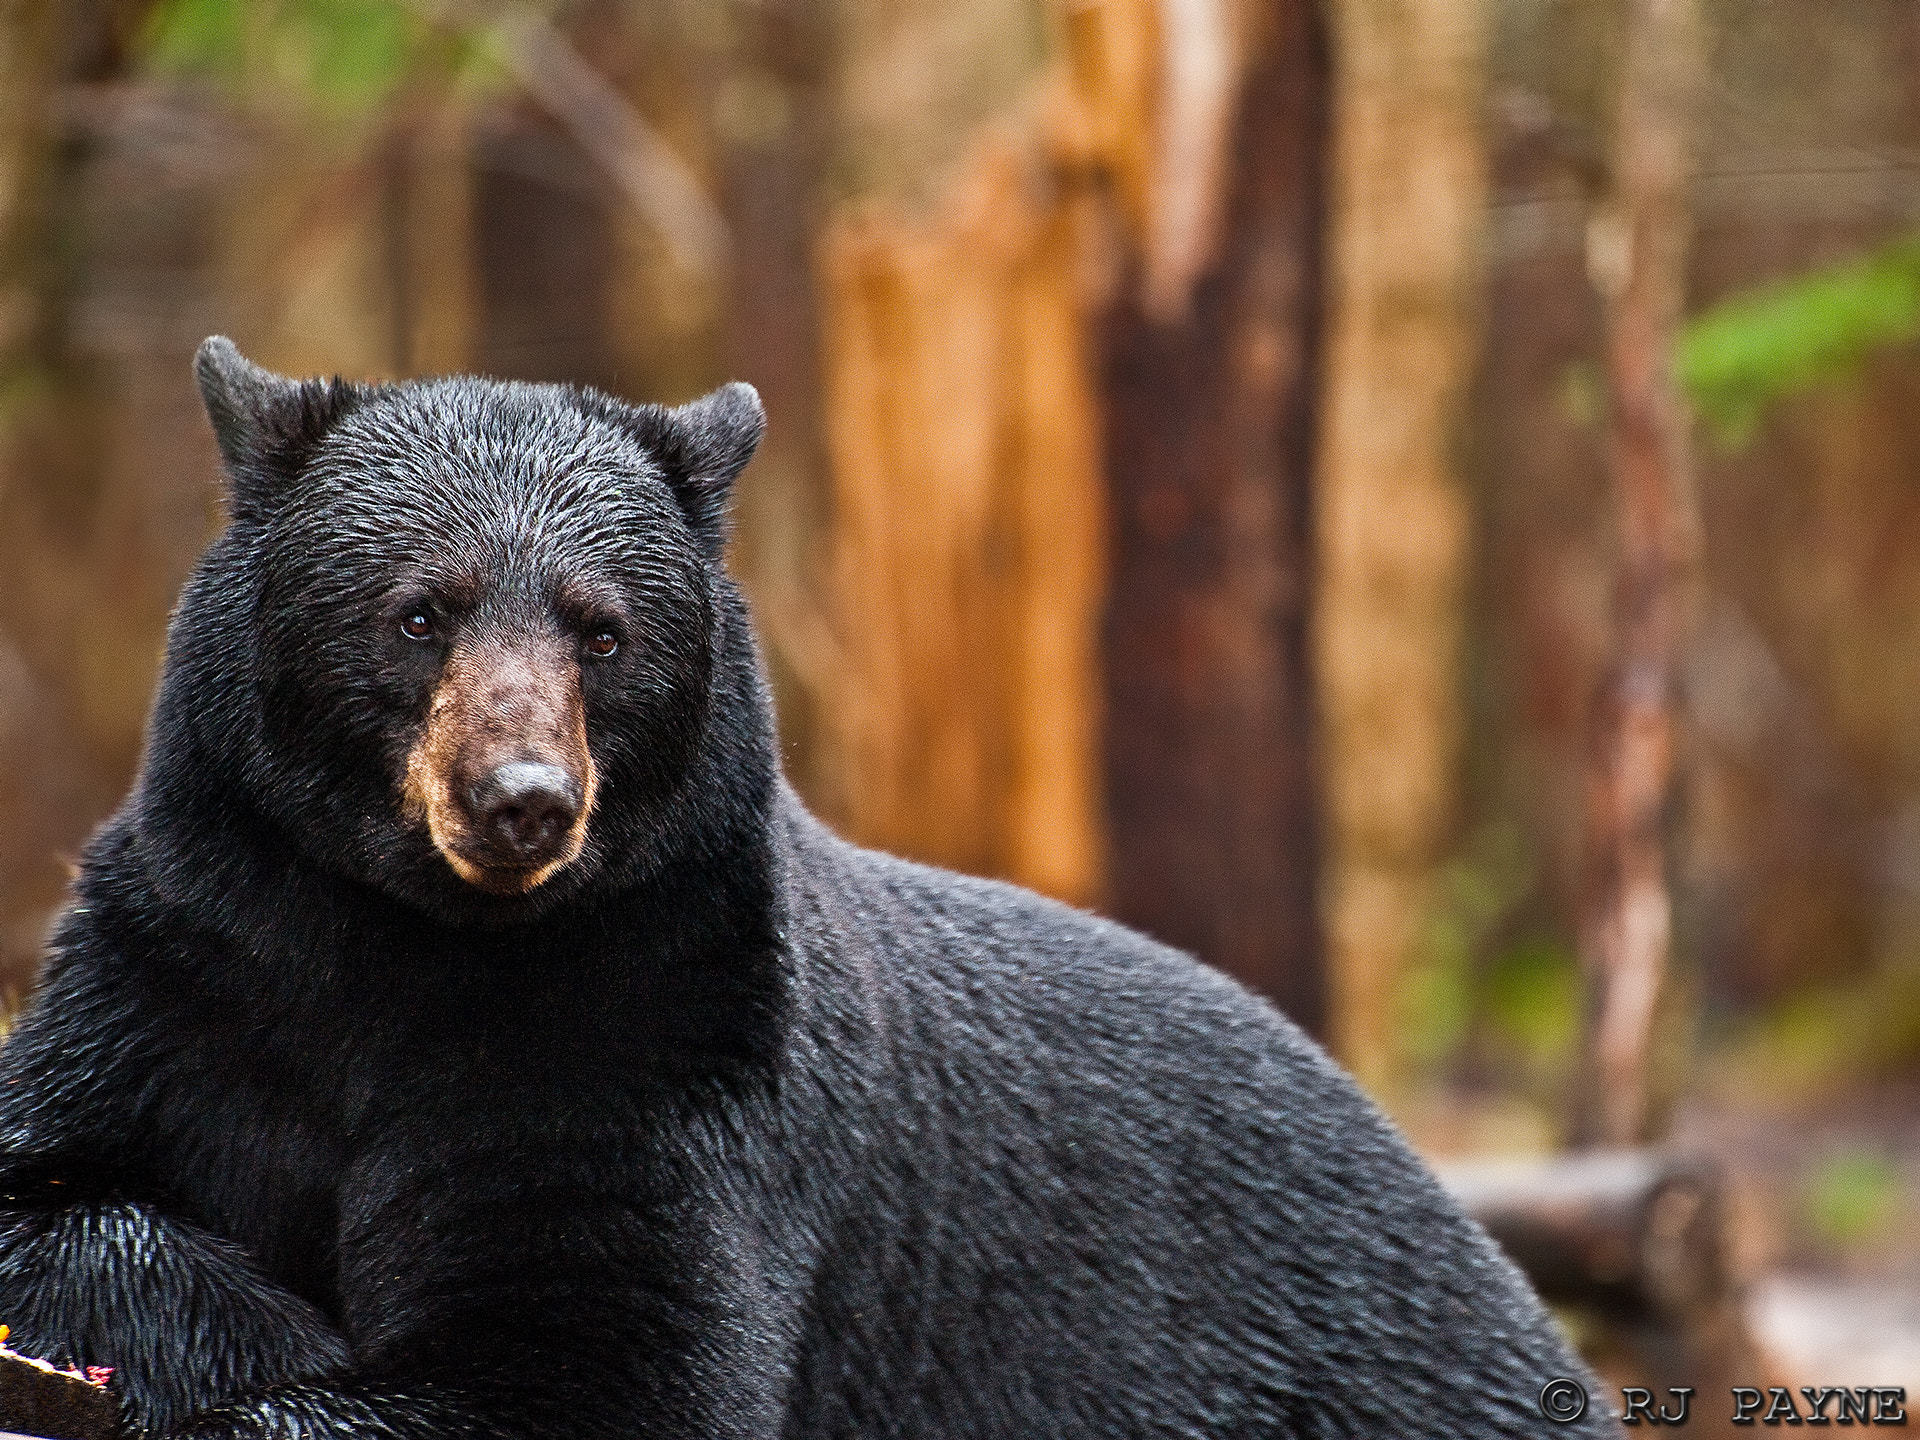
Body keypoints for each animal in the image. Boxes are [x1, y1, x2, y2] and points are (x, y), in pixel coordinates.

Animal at [0, 338, 1616, 1439]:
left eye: (602, 632)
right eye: (417, 614)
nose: (521, 802)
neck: (413, 944)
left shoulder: (660, 1037)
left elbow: (592, 1357)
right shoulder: (194, 954)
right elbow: (54, 1186)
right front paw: (248, 1324)